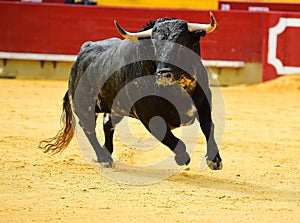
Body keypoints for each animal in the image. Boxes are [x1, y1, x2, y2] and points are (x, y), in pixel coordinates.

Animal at [39, 12, 223, 171]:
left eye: (183, 42)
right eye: (154, 44)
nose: (164, 73)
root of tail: (83, 51)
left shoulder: (204, 104)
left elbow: (208, 126)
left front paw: (214, 160)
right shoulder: (149, 117)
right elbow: (170, 138)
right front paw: (182, 158)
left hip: (116, 107)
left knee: (107, 124)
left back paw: (106, 153)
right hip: (84, 106)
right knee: (89, 129)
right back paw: (104, 158)